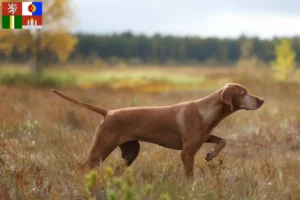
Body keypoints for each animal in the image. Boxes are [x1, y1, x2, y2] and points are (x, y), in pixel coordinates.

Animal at [51, 83, 264, 178]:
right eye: (243, 93)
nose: (261, 100)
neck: (206, 111)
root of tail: (109, 112)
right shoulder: (187, 153)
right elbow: (189, 175)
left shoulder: (204, 138)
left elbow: (223, 140)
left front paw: (211, 154)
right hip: (101, 149)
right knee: (82, 168)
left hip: (131, 151)